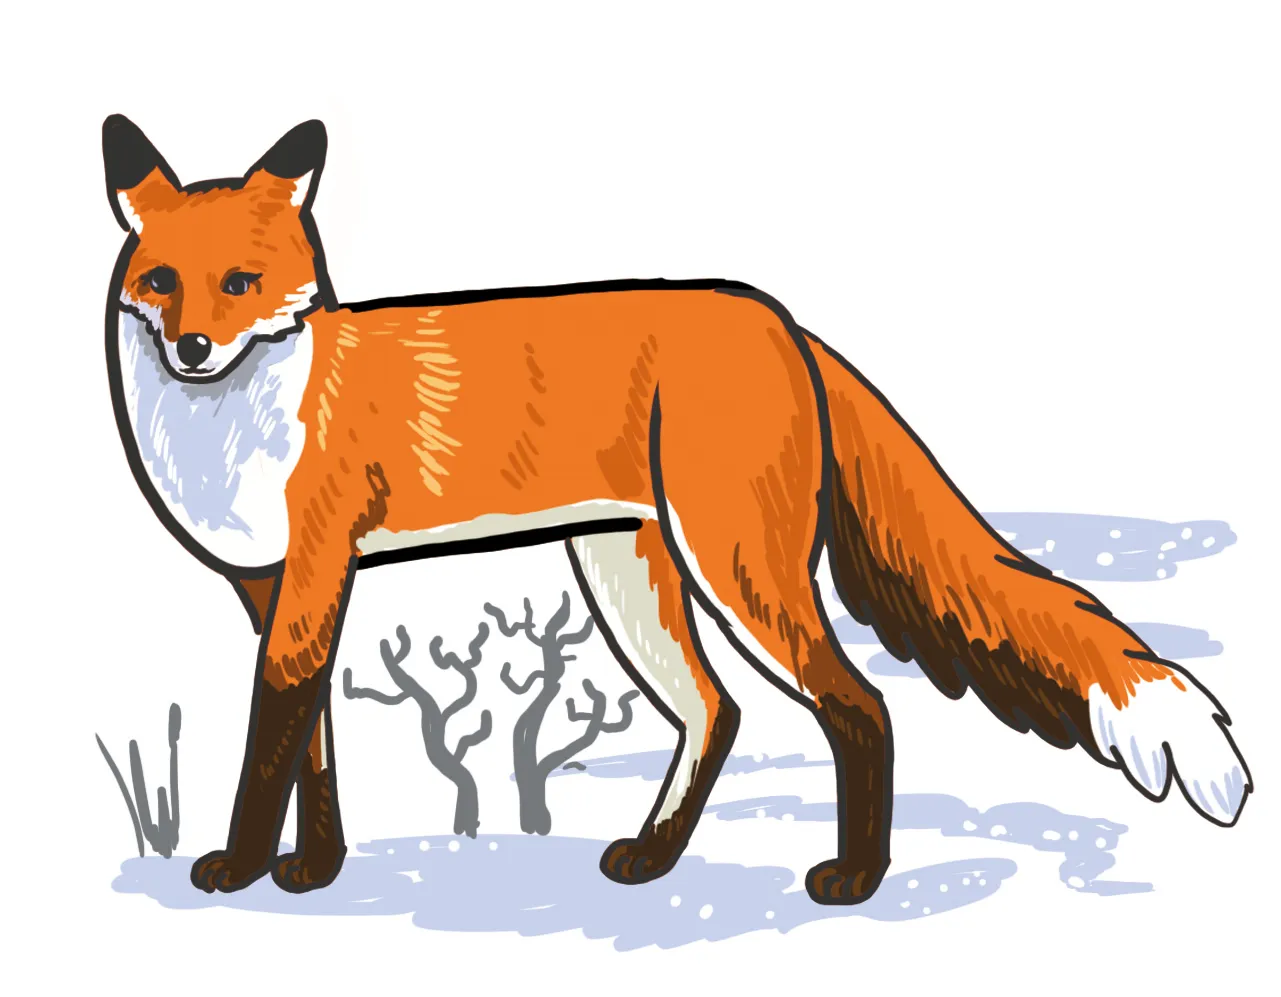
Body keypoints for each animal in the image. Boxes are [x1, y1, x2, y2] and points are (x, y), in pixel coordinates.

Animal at [102, 115, 1251, 903]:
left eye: (242, 283)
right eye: (161, 281)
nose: (192, 348)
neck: (246, 419)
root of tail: (777, 317)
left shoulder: (312, 574)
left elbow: (268, 747)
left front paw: (240, 866)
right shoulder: (279, 589)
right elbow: (313, 746)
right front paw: (315, 870)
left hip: (734, 565)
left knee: (858, 707)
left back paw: (853, 880)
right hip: (628, 571)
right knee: (715, 707)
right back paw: (654, 855)